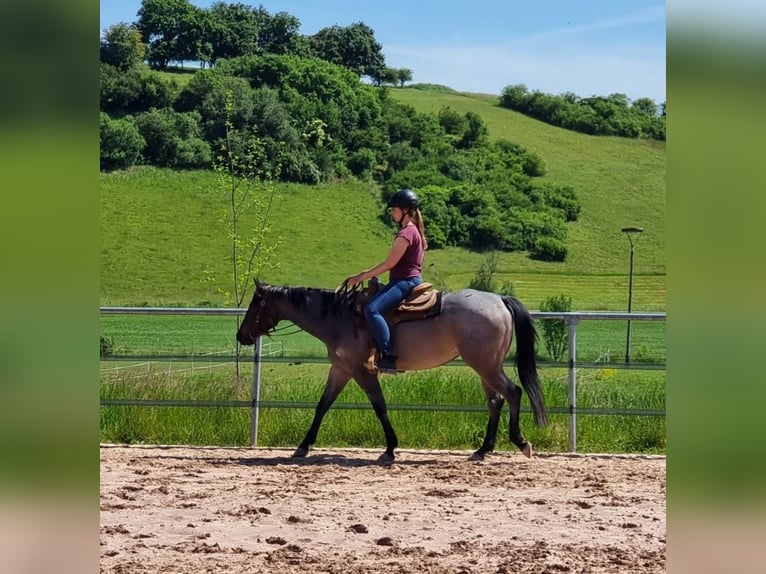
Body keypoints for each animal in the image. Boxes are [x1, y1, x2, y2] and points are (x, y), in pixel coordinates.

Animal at [236, 280, 548, 465]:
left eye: (255, 305)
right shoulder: (341, 369)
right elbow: (322, 405)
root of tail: (499, 300)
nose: (241, 336)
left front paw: (389, 449)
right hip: (485, 367)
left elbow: (380, 406)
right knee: (496, 401)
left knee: (513, 393)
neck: (339, 317)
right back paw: (483, 450)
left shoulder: (362, 371)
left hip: (485, 365)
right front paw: (302, 446)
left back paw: (521, 443)